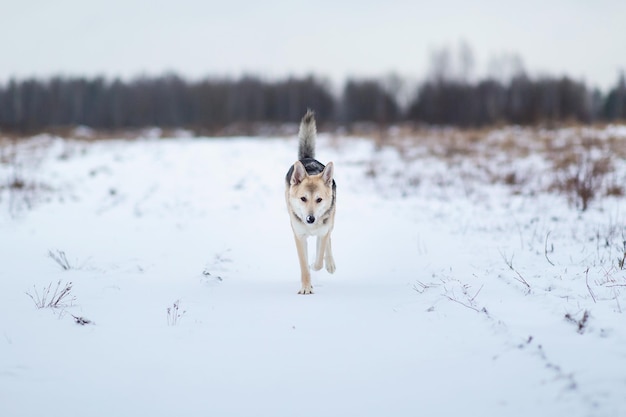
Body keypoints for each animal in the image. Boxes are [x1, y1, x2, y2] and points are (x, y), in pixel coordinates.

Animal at [286, 109, 336, 294]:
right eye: (303, 198)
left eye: (319, 199)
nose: (310, 219)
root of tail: (307, 159)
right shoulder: (299, 236)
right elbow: (303, 265)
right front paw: (306, 287)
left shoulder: (323, 231)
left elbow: (319, 260)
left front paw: (316, 265)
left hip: (330, 222)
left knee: (328, 241)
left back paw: (330, 264)